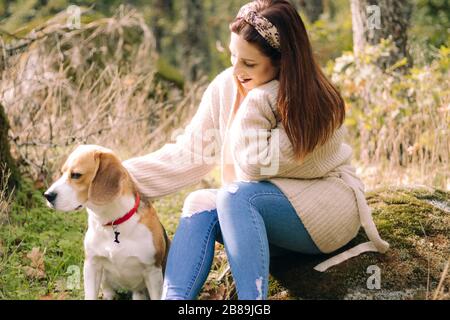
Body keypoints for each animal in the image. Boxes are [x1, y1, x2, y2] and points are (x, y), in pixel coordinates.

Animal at [43, 145, 169, 300]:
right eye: (62, 173)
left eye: (76, 175)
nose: (47, 195)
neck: (111, 221)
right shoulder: (92, 265)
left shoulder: (153, 271)